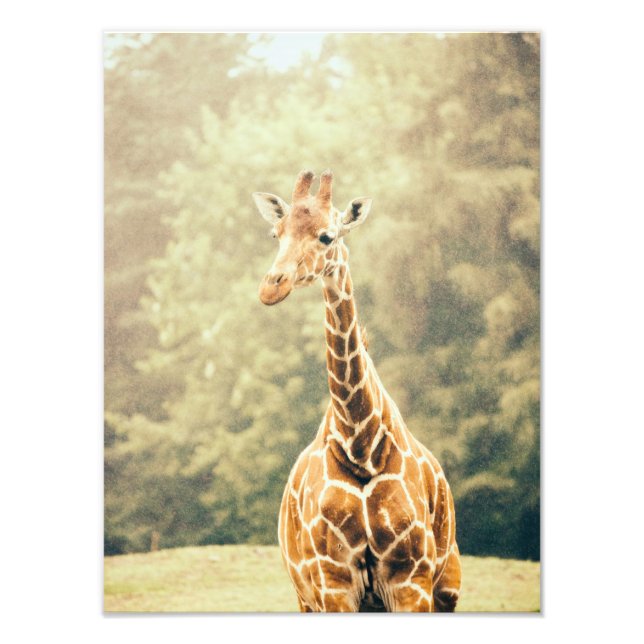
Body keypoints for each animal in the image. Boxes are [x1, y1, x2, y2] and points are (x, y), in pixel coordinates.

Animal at [253, 170, 461, 612]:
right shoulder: (333, 581)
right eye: (276, 232)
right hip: (307, 598)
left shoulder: (412, 579)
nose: (271, 288)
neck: (361, 443)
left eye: (326, 236)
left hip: (448, 585)